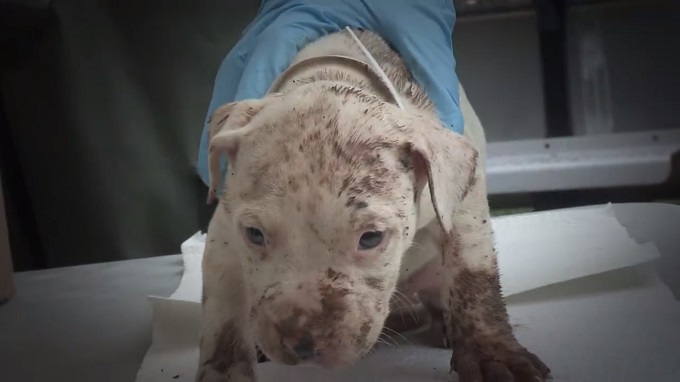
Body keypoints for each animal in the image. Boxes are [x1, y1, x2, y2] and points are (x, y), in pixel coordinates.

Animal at [194, 26, 548, 382]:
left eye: (371, 238)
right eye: (254, 234)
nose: (302, 343)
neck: (330, 73)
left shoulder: (460, 198)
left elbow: (474, 277)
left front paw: (493, 354)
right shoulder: (224, 235)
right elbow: (223, 314)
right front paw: (224, 372)